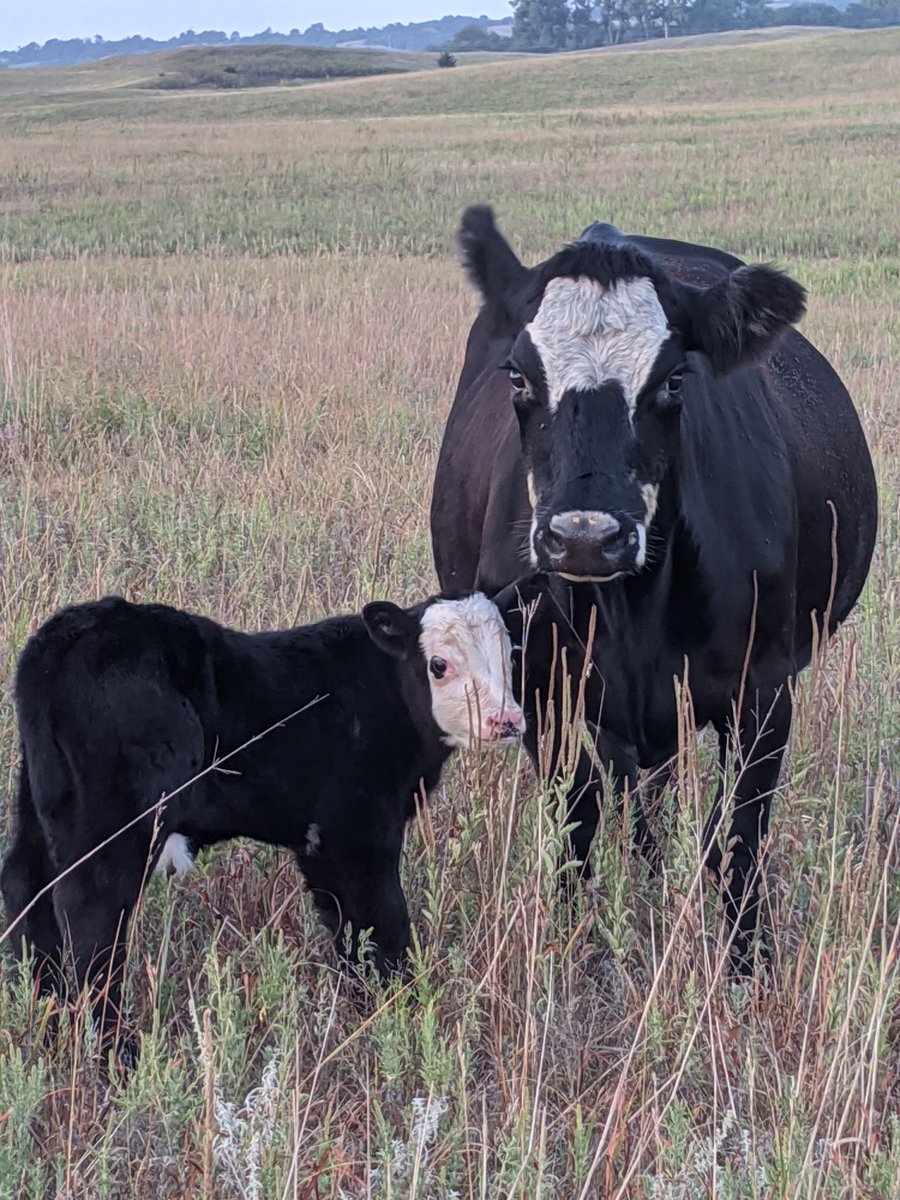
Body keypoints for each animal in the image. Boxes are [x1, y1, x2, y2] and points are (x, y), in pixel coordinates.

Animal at [1, 589, 523, 1057]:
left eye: (510, 655)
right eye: (439, 664)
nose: (508, 720)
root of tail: (70, 631)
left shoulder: (323, 845)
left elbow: (349, 928)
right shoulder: (356, 833)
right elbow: (382, 923)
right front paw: (402, 1015)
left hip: (44, 806)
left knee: (27, 885)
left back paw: (44, 1013)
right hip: (121, 822)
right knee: (93, 913)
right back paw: (115, 1052)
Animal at [431, 206, 878, 970]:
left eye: (673, 381)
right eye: (518, 377)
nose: (584, 537)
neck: (630, 610)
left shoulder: (764, 687)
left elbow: (736, 835)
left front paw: (747, 965)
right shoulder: (537, 685)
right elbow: (577, 807)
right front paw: (572, 941)